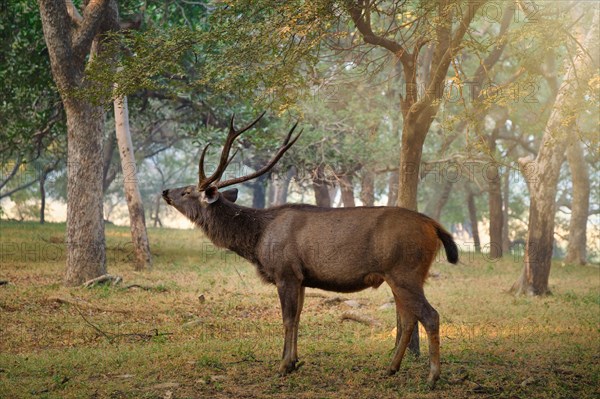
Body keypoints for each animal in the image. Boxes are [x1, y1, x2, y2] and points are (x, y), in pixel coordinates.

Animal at [162, 112, 458, 388]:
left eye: (187, 191)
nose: (165, 191)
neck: (258, 239)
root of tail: (435, 226)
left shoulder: (285, 272)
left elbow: (287, 319)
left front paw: (283, 366)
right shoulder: (302, 278)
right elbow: (298, 317)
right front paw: (294, 361)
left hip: (405, 271)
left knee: (430, 315)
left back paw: (432, 377)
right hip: (397, 277)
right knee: (408, 319)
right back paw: (390, 368)